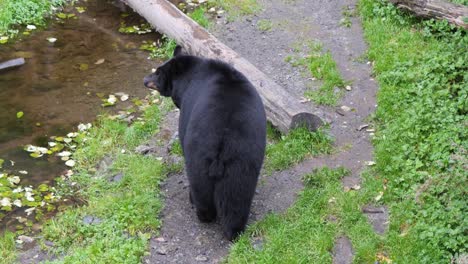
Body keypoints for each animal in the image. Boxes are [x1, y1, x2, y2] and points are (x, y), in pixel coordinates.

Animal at [143, 46, 266, 240]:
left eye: (158, 72)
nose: (144, 80)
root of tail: (223, 140)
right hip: (244, 158)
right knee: (237, 195)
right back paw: (235, 230)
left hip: (199, 154)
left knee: (200, 186)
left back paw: (201, 211)